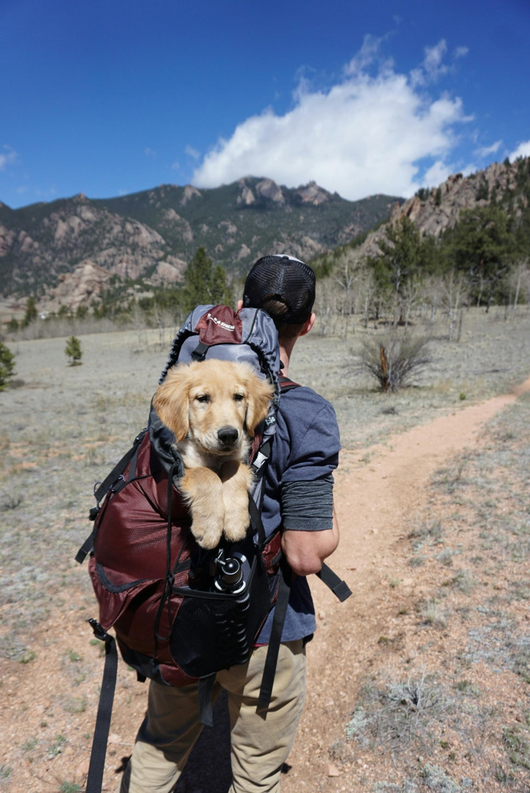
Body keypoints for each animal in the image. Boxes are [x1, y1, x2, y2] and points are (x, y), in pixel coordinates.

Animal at [150, 360, 270, 552]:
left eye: (238, 397)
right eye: (202, 398)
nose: (229, 435)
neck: (214, 456)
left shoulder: (239, 458)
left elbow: (232, 469)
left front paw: (235, 521)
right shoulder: (184, 465)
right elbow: (206, 474)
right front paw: (209, 527)